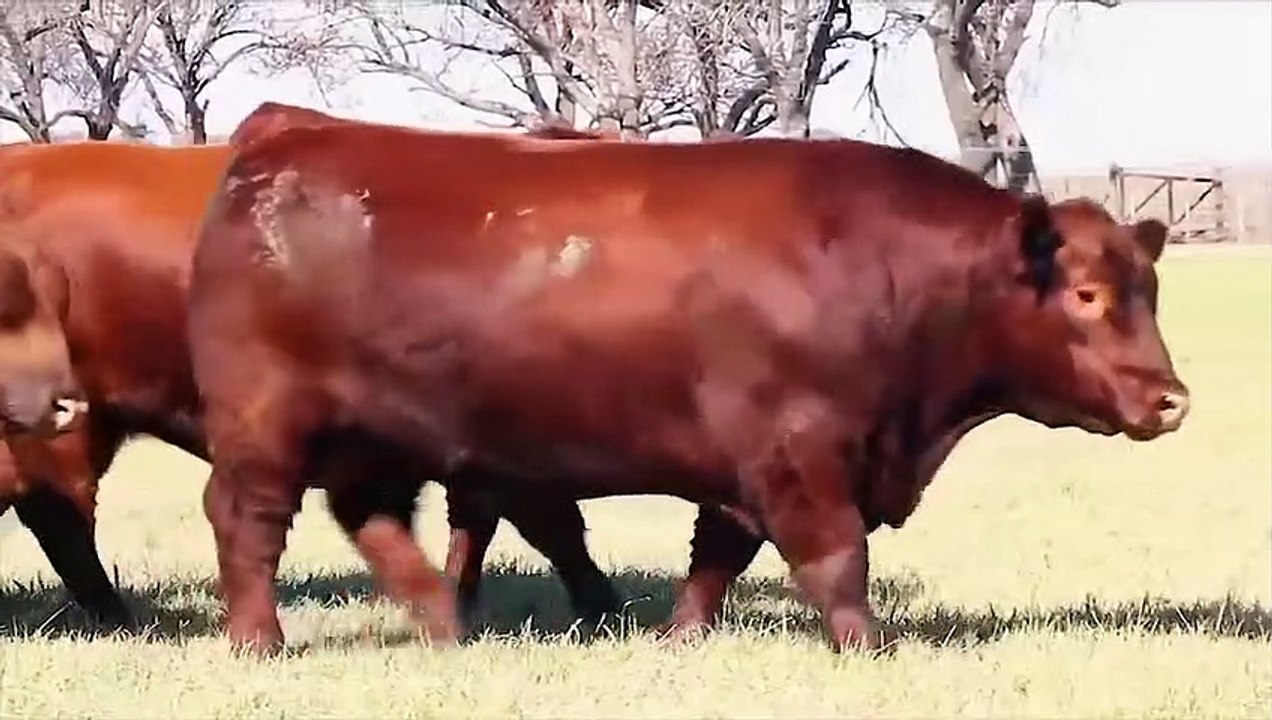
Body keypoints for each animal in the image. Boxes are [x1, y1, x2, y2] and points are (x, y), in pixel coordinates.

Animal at [178, 119, 1189, 657]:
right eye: (1087, 295)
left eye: (1149, 287)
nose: (1169, 397)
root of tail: (280, 144)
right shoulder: (800, 454)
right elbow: (837, 557)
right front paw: (870, 646)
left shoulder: (750, 468)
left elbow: (717, 557)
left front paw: (681, 636)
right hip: (268, 430)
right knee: (247, 521)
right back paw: (259, 640)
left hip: (376, 440)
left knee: (376, 520)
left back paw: (442, 619)